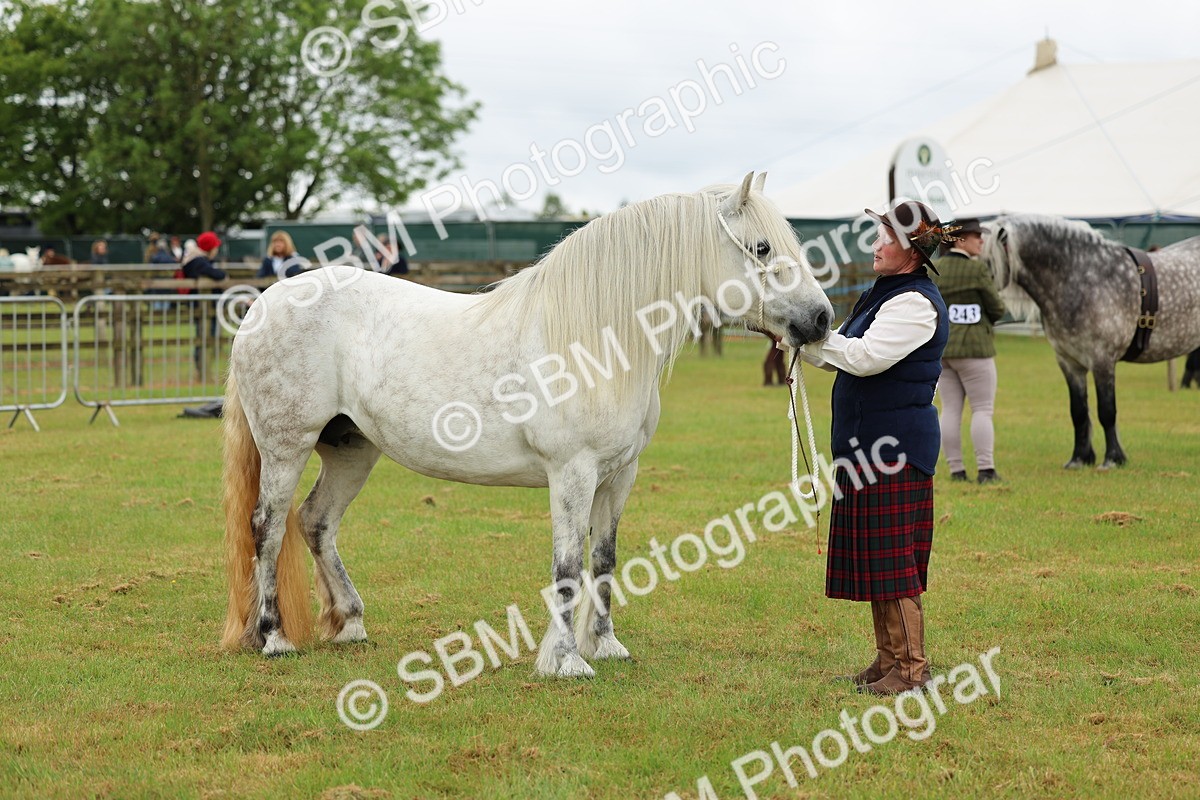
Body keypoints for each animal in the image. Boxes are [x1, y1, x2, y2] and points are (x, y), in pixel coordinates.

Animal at [221, 172, 834, 677]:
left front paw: (605, 646)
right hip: (286, 447)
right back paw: (274, 638)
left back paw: (349, 623)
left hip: (352, 450)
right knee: (268, 527)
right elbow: (566, 564)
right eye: (762, 247)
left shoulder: (619, 475)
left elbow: (603, 559)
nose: (822, 319)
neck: (597, 340)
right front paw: (564, 661)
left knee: (316, 522)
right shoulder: (572, 472)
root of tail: (262, 306)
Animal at [982, 214, 1200, 469]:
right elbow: (1078, 412)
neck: (1084, 278)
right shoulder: (1069, 363)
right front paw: (1079, 458)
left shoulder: (1102, 360)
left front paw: (1113, 459)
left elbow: (1106, 410)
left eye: (986, 259)